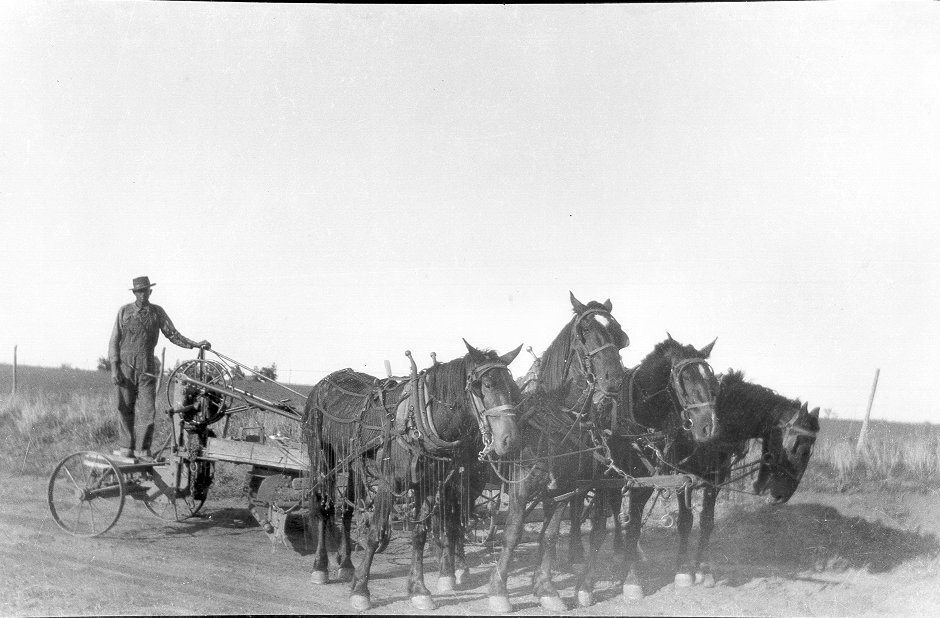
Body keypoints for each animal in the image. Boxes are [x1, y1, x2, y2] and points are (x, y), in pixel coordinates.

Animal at [304, 340, 520, 608]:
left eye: (512, 388)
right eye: (487, 385)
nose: (510, 440)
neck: (418, 418)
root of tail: (324, 382)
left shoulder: (428, 484)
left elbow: (420, 534)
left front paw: (418, 589)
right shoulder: (388, 482)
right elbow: (375, 533)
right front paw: (361, 590)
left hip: (353, 463)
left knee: (346, 510)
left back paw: (345, 564)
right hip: (322, 459)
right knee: (323, 508)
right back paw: (320, 567)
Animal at [482, 292, 628, 612]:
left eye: (617, 333)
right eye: (585, 330)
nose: (614, 379)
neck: (554, 421)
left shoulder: (564, 489)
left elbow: (548, 536)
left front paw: (546, 588)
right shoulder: (520, 487)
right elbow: (513, 532)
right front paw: (499, 590)